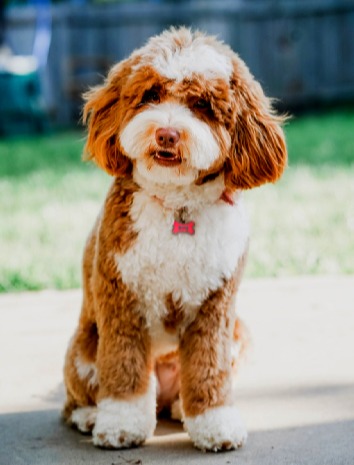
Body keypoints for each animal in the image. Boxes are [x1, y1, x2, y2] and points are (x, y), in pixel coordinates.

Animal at [62, 27, 286, 452]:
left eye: (201, 104)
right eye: (150, 94)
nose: (167, 133)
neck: (177, 208)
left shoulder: (216, 308)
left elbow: (208, 369)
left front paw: (215, 424)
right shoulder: (121, 299)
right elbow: (124, 369)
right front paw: (121, 425)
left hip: (239, 332)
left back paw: (183, 405)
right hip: (83, 349)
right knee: (76, 398)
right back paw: (90, 414)